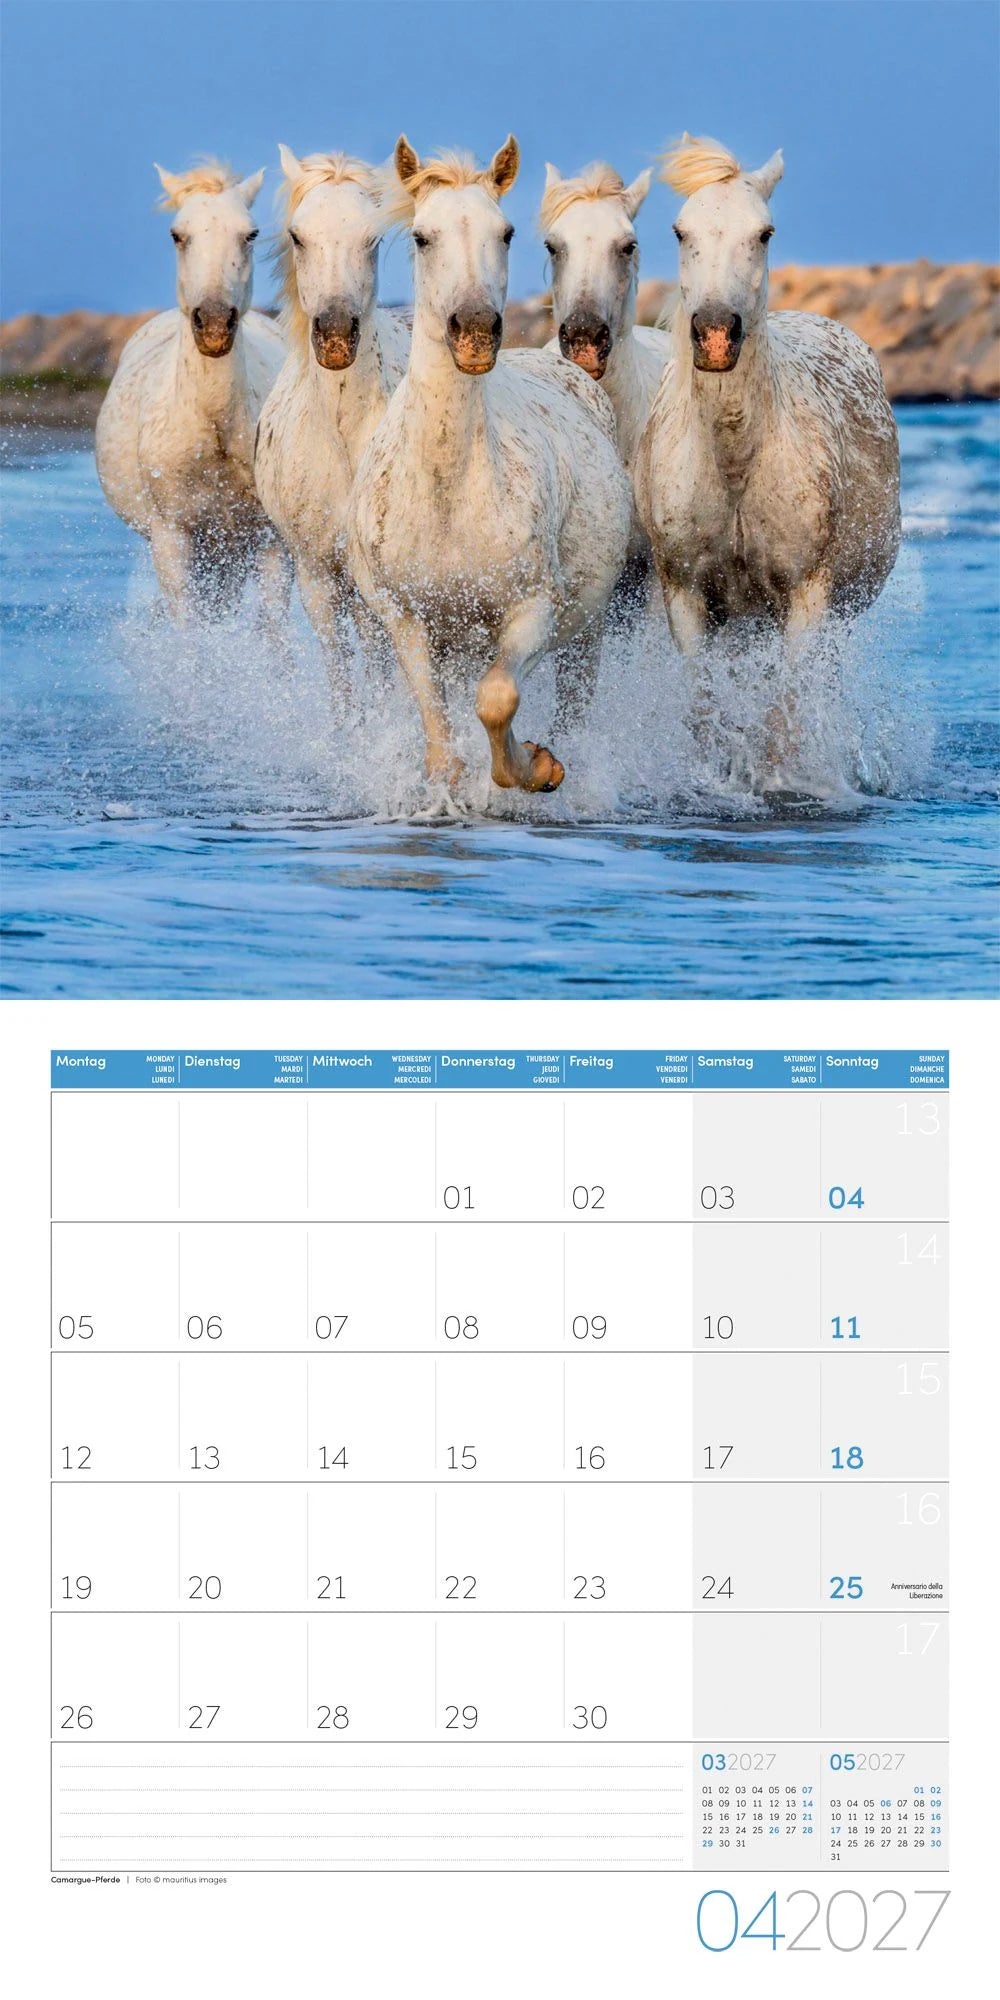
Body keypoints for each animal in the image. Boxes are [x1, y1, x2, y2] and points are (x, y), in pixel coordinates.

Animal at [95, 161, 289, 628]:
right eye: (176, 234)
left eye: (251, 233)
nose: (214, 325)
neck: (213, 425)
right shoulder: (173, 538)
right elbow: (189, 630)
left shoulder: (269, 541)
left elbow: (275, 632)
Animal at [346, 137, 632, 798]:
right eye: (422, 236)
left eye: (505, 233)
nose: (475, 332)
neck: (448, 492)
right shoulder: (406, 619)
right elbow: (439, 736)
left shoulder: (534, 609)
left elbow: (497, 698)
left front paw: (536, 768)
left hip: (588, 631)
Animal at [633, 135, 900, 789]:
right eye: (680, 230)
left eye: (765, 233)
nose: (715, 334)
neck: (735, 461)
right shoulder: (687, 594)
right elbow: (704, 708)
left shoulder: (807, 596)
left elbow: (788, 712)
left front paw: (781, 781)